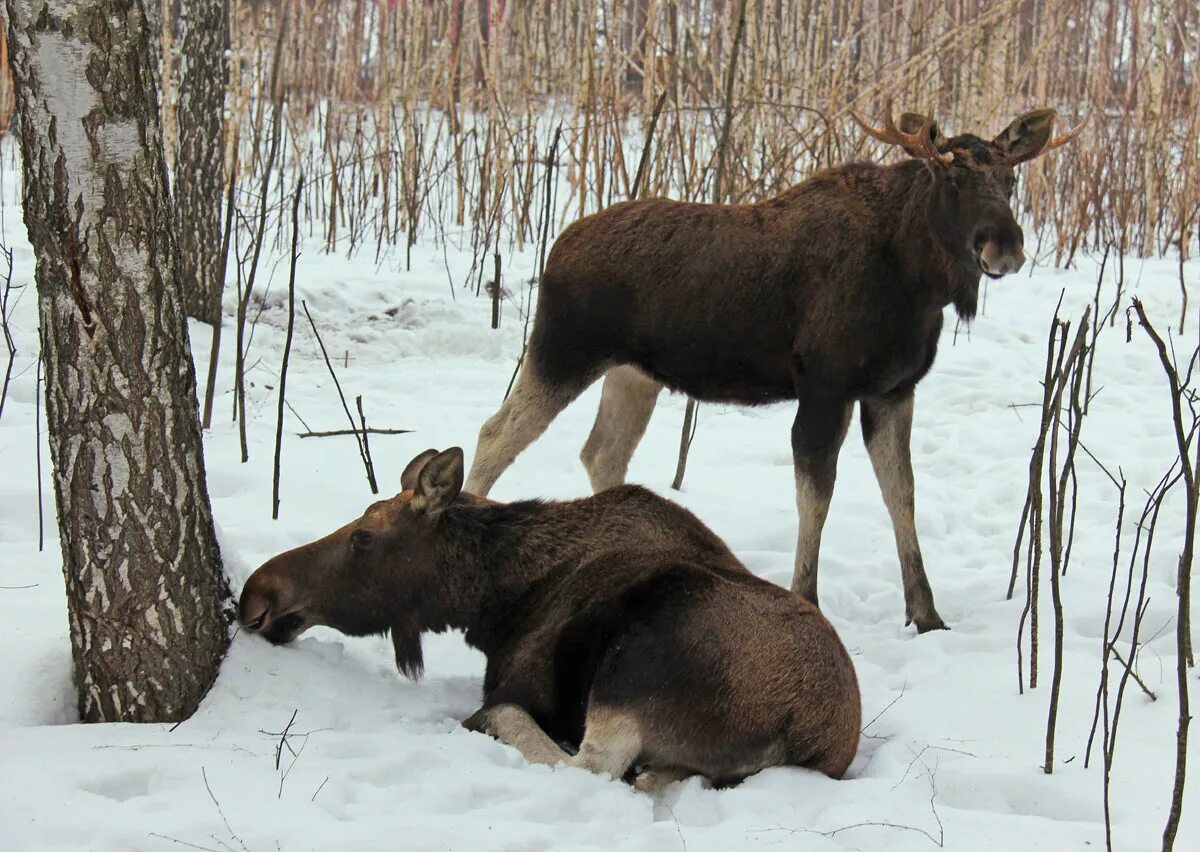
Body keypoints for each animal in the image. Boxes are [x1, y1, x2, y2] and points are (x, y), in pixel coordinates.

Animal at [241, 451, 864, 792]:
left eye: (363, 538)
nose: (256, 595)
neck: (499, 603)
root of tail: (805, 732)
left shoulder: (527, 683)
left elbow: (508, 712)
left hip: (631, 666)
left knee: (587, 765)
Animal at [463, 102, 1084, 633]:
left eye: (1010, 181)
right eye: (950, 180)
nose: (1004, 246)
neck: (917, 284)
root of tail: (556, 248)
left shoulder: (893, 390)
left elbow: (901, 492)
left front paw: (926, 615)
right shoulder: (827, 387)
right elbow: (818, 495)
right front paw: (808, 598)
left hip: (634, 374)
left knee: (602, 451)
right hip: (563, 350)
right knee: (495, 433)